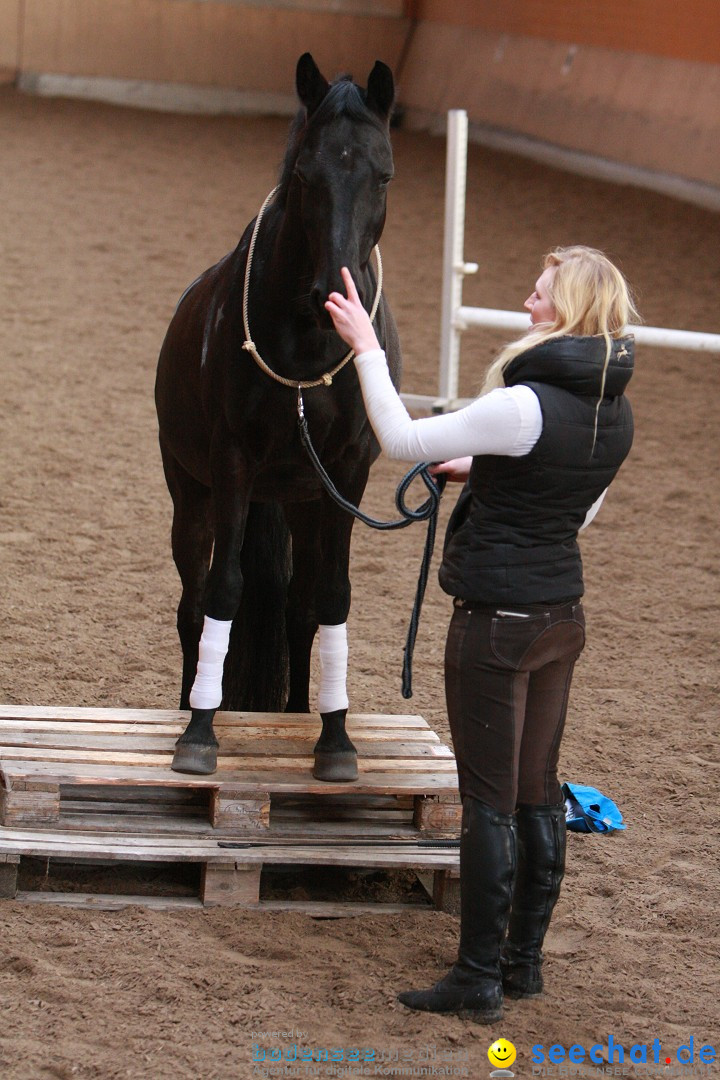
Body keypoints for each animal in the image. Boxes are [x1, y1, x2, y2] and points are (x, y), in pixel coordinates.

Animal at [154, 52, 399, 777]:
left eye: (383, 175)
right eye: (303, 175)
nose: (332, 296)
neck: (309, 341)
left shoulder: (347, 474)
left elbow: (331, 599)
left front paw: (335, 741)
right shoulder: (233, 462)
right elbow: (223, 591)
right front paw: (200, 733)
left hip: (301, 501)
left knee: (297, 609)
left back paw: (293, 717)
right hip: (194, 493)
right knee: (192, 602)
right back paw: (185, 706)